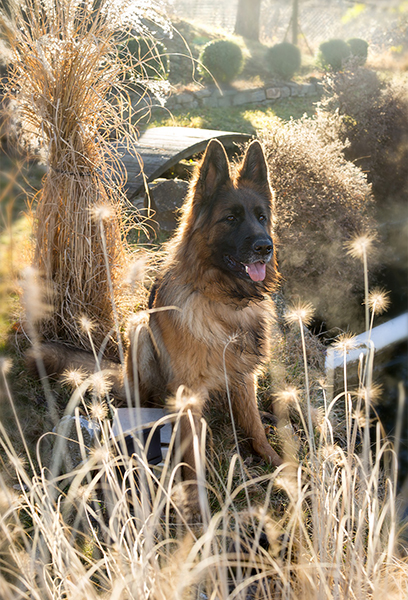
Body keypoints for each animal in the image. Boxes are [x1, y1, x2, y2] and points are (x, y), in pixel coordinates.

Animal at [28, 141, 282, 506]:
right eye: (231, 218)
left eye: (262, 217)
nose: (265, 247)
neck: (223, 301)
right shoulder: (188, 393)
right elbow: (193, 455)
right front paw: (197, 501)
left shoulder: (244, 377)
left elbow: (255, 428)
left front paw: (279, 465)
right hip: (140, 331)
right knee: (143, 399)